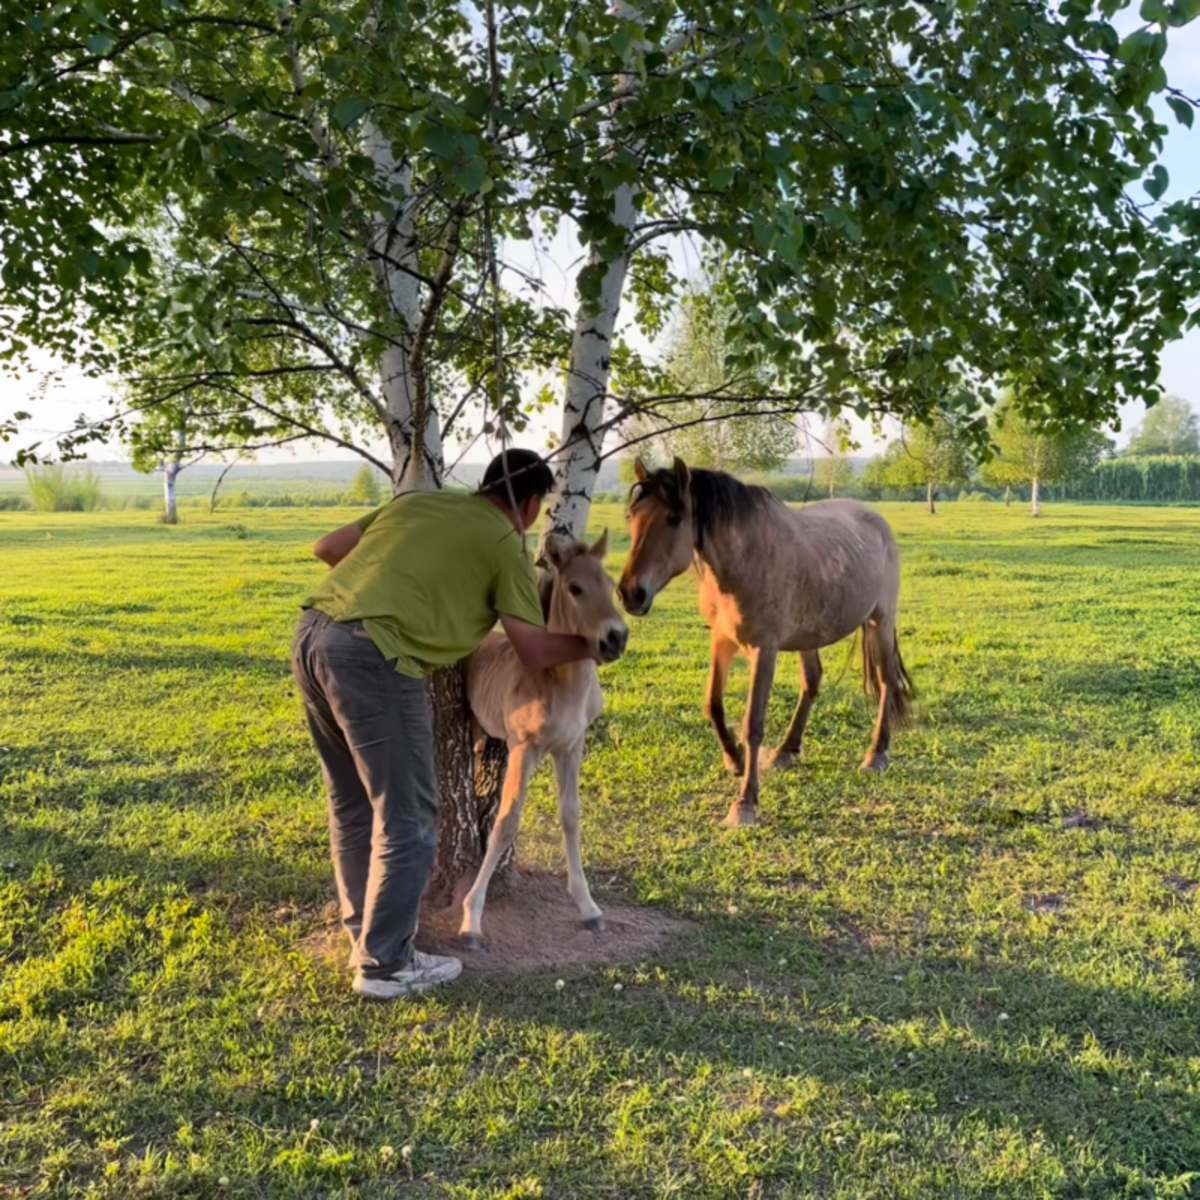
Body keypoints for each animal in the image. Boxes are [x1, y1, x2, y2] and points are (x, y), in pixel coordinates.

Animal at [458, 531, 628, 949]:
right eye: (575, 588)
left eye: (612, 586)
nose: (616, 638)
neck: (561, 685)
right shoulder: (525, 748)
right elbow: (506, 822)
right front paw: (471, 918)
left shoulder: (570, 748)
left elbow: (571, 816)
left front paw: (588, 906)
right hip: (476, 731)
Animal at [618, 458, 913, 828]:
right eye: (632, 516)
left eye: (675, 519)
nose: (630, 593)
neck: (745, 559)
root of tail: (876, 520)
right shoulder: (721, 640)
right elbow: (713, 703)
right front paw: (734, 759)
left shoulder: (765, 650)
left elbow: (753, 724)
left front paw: (744, 803)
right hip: (809, 635)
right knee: (812, 682)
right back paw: (786, 751)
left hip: (880, 621)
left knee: (887, 681)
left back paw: (876, 754)